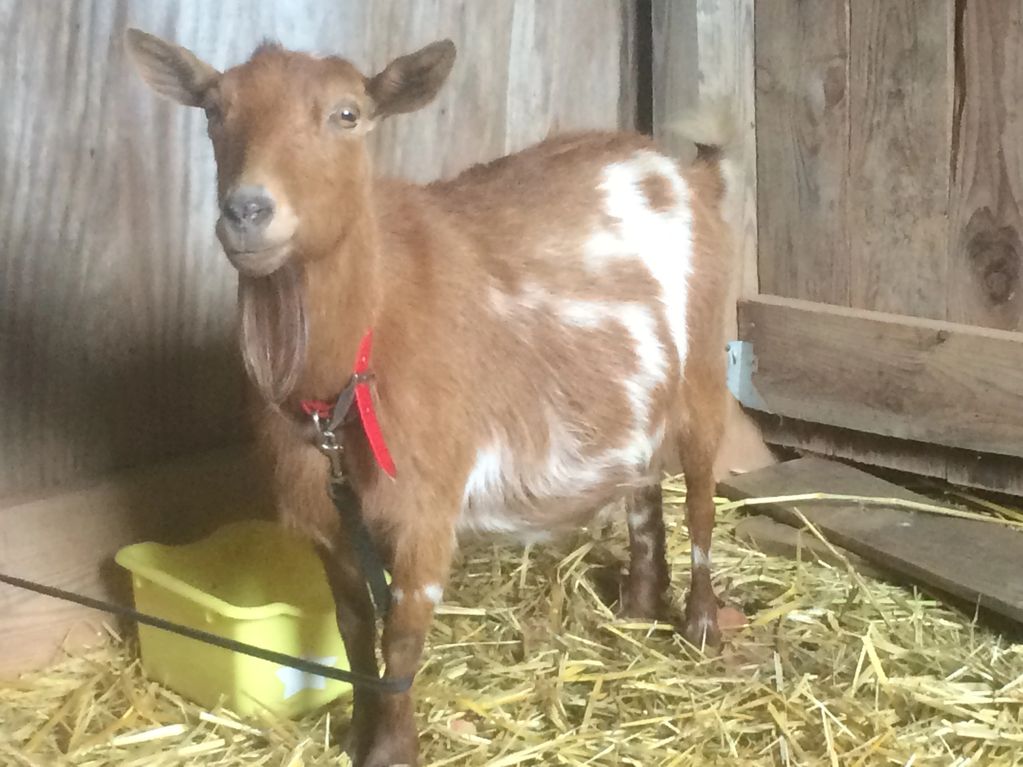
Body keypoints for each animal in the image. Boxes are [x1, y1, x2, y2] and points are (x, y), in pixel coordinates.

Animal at [125, 30, 736, 767]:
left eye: (348, 114)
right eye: (214, 110)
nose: (247, 211)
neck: (346, 370)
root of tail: (687, 174)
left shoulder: (425, 507)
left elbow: (401, 640)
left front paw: (392, 749)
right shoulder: (330, 520)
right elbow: (355, 629)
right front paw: (358, 734)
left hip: (704, 367)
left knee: (699, 497)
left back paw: (700, 624)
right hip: (639, 394)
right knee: (642, 481)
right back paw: (640, 600)